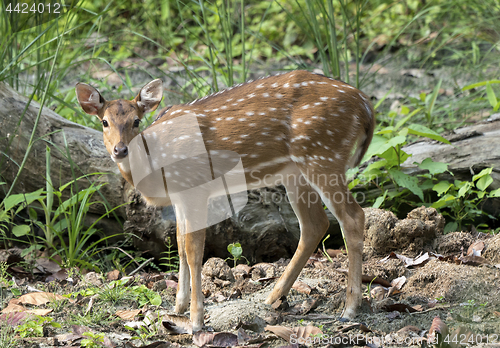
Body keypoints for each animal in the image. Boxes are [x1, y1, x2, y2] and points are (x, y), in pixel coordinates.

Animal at [76, 70, 376, 332]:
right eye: (104, 122)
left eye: (136, 121)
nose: (120, 150)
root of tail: (365, 104)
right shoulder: (180, 197)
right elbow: (180, 246)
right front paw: (178, 308)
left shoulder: (194, 188)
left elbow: (194, 251)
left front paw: (195, 321)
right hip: (296, 171)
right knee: (315, 225)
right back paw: (271, 297)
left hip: (323, 155)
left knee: (353, 217)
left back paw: (350, 309)